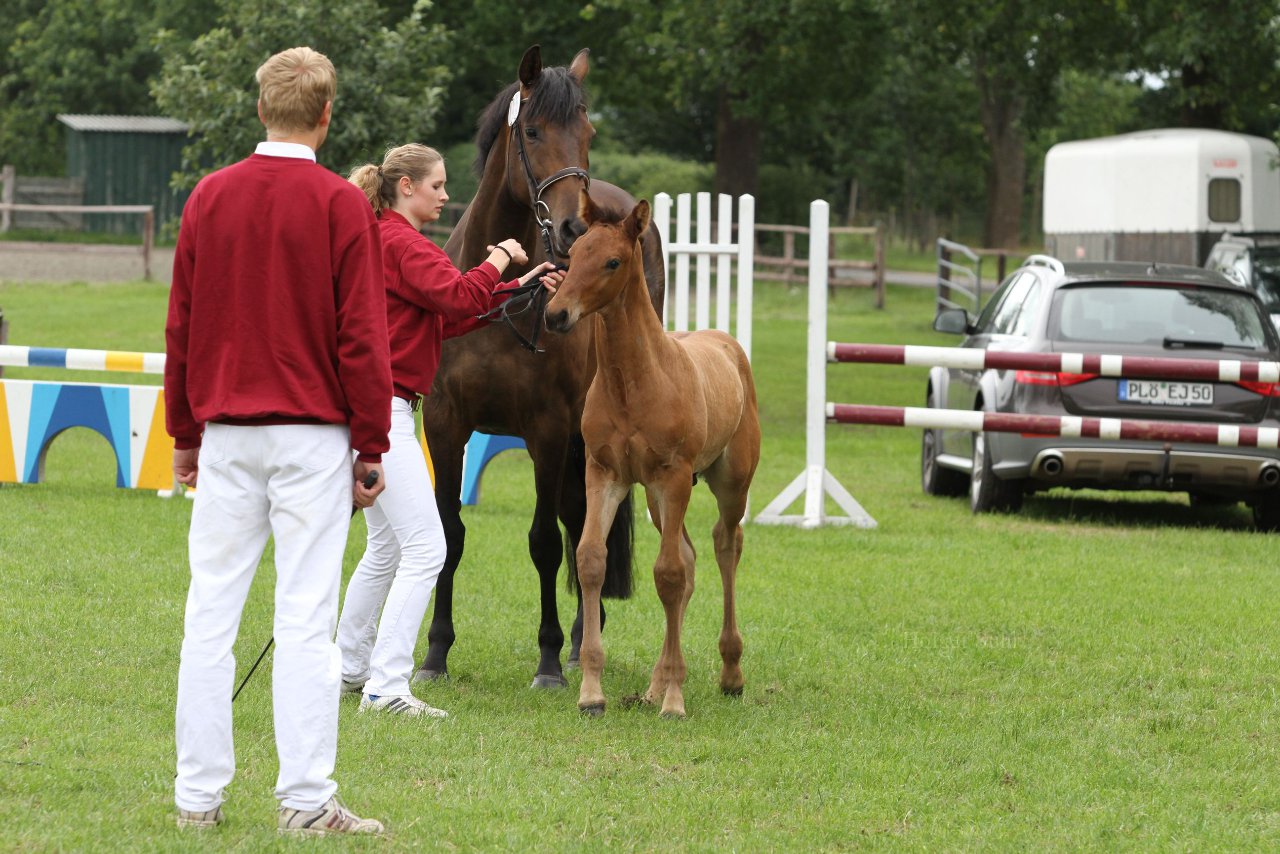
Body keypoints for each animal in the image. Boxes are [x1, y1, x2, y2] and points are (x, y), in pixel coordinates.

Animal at [417, 45, 665, 686]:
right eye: (531, 131)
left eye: (588, 132)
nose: (576, 227)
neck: (498, 296)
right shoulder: (446, 425)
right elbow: (449, 534)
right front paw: (435, 653)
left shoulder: (549, 431)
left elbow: (545, 542)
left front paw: (550, 658)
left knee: (581, 524)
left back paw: (580, 642)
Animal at [542, 190, 757, 717]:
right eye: (573, 256)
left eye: (612, 261)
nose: (556, 315)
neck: (634, 382)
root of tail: (726, 344)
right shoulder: (605, 475)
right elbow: (591, 560)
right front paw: (592, 693)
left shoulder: (672, 476)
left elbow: (668, 575)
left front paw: (676, 701)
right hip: (659, 502)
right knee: (690, 556)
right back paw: (654, 685)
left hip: (727, 484)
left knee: (725, 546)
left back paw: (729, 673)